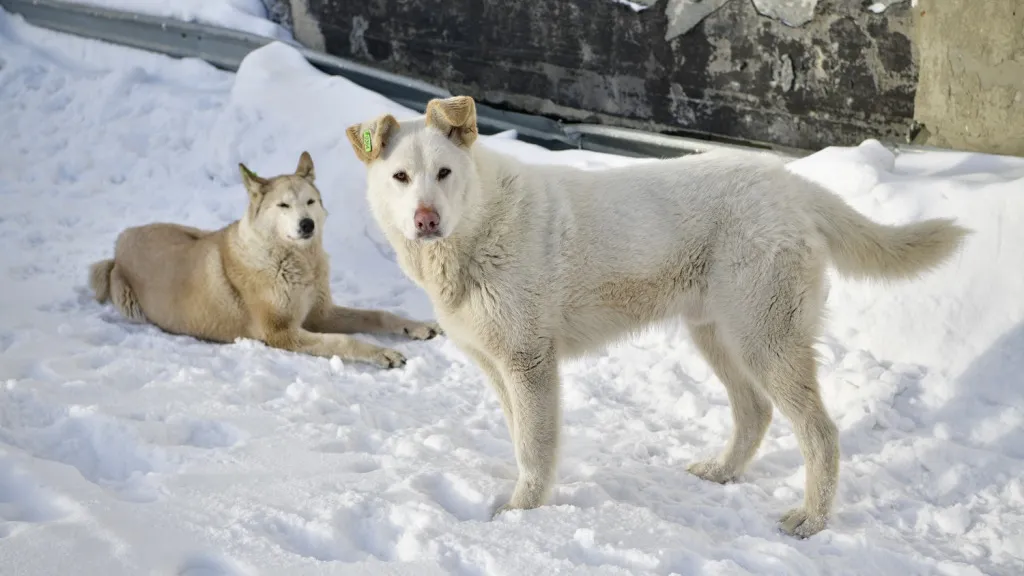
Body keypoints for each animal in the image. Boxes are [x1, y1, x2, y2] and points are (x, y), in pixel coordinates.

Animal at [88, 151, 440, 366]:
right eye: (283, 206)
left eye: (310, 202)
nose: (307, 224)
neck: (293, 262)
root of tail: (120, 244)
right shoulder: (281, 333)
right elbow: (343, 341)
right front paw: (382, 353)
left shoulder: (320, 314)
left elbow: (378, 315)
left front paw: (416, 327)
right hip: (128, 299)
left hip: (190, 231)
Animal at [344, 96, 966, 537]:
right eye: (401, 178)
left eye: (444, 173)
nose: (425, 220)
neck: (480, 226)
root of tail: (791, 183)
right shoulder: (500, 367)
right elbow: (523, 441)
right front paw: (523, 502)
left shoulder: (529, 364)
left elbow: (535, 449)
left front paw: (521, 513)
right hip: (718, 336)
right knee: (756, 413)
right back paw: (723, 472)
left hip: (765, 340)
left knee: (820, 433)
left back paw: (811, 520)